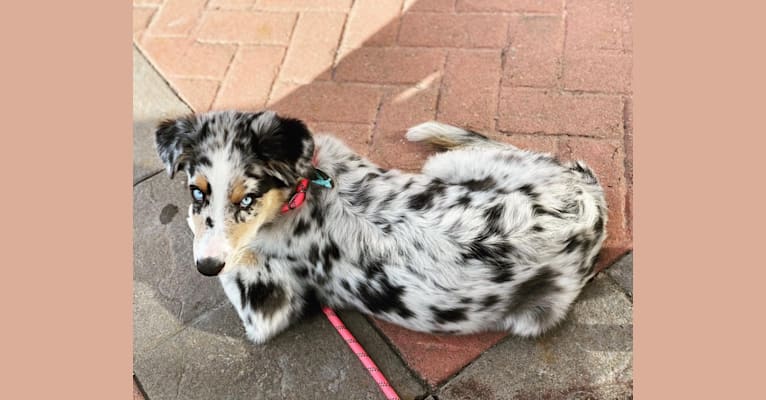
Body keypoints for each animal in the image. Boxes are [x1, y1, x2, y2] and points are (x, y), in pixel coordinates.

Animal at [156, 110, 608, 344]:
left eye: (247, 199)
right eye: (197, 191)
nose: (204, 267)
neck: (303, 192)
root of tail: (585, 198)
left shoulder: (266, 306)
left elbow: (232, 258)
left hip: (447, 169)